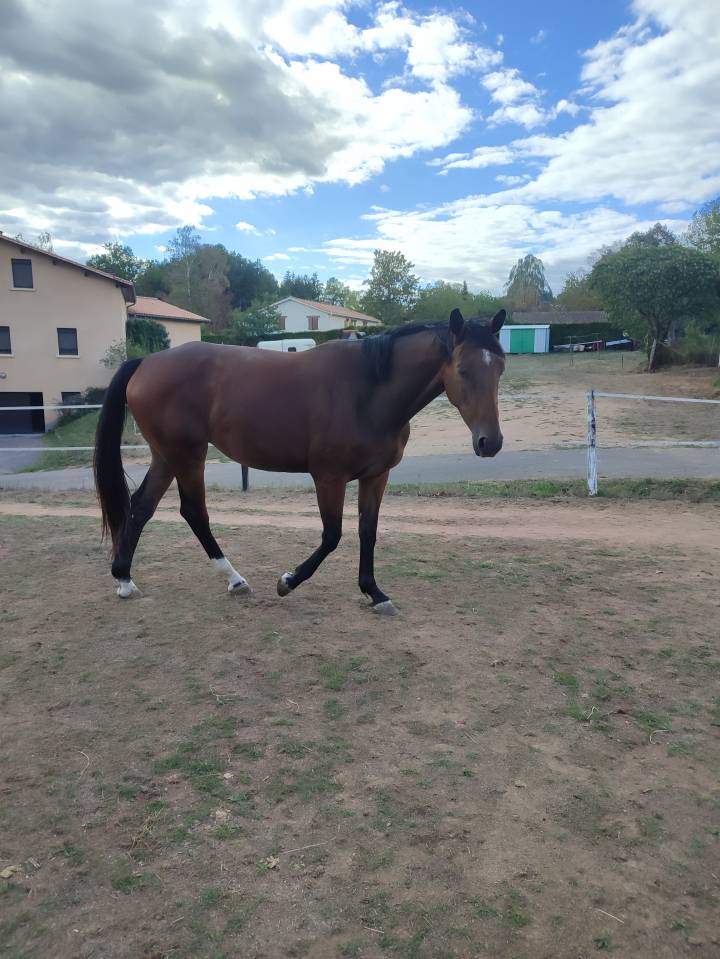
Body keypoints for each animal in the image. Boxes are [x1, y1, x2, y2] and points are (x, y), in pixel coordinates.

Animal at [94, 307, 506, 614]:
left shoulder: (376, 476)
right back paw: (234, 579)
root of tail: (146, 362)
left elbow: (367, 532)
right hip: (188, 455)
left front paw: (374, 593)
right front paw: (287, 582)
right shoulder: (329, 478)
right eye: (463, 370)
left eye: (500, 367)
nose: (491, 442)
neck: (368, 391)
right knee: (193, 511)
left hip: (167, 455)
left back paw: (125, 579)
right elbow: (332, 536)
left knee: (141, 507)